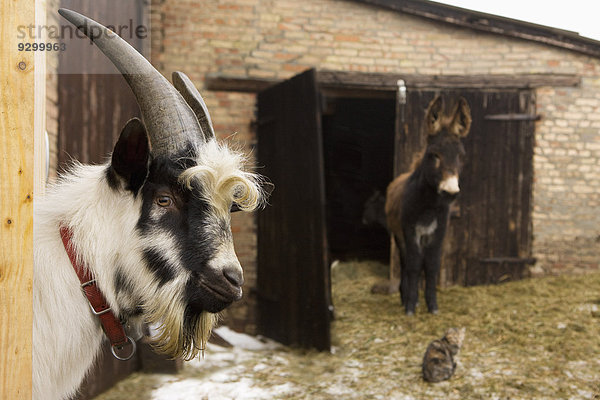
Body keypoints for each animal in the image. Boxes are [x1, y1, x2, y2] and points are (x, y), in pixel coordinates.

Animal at [386, 94, 472, 316]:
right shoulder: (410, 232)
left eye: (460, 156)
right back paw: (406, 298)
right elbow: (415, 265)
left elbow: (432, 266)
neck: (429, 208)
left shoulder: (439, 232)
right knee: (405, 263)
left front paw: (432, 305)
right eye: (434, 155)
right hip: (398, 235)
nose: (450, 192)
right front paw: (410, 306)